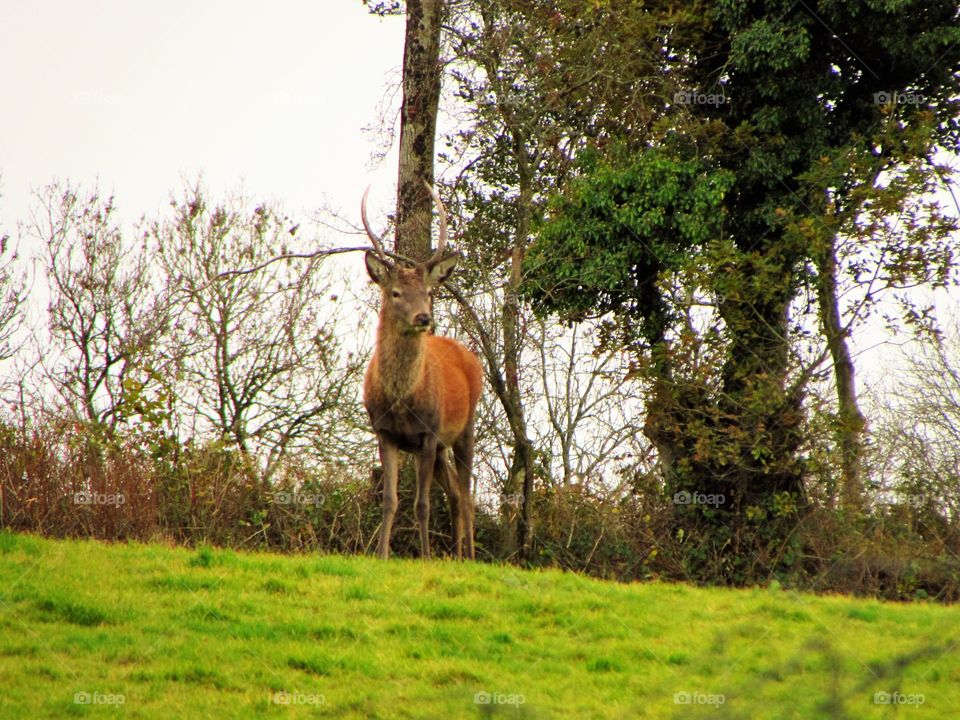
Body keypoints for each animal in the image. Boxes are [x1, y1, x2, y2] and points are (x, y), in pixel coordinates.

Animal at [360, 183, 484, 560]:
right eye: (395, 292)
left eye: (429, 292)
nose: (423, 318)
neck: (402, 399)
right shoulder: (384, 432)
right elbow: (389, 500)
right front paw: (382, 555)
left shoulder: (428, 433)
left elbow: (423, 504)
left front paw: (426, 557)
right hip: (442, 445)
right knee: (456, 494)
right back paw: (457, 556)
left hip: (466, 426)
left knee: (467, 495)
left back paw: (469, 557)